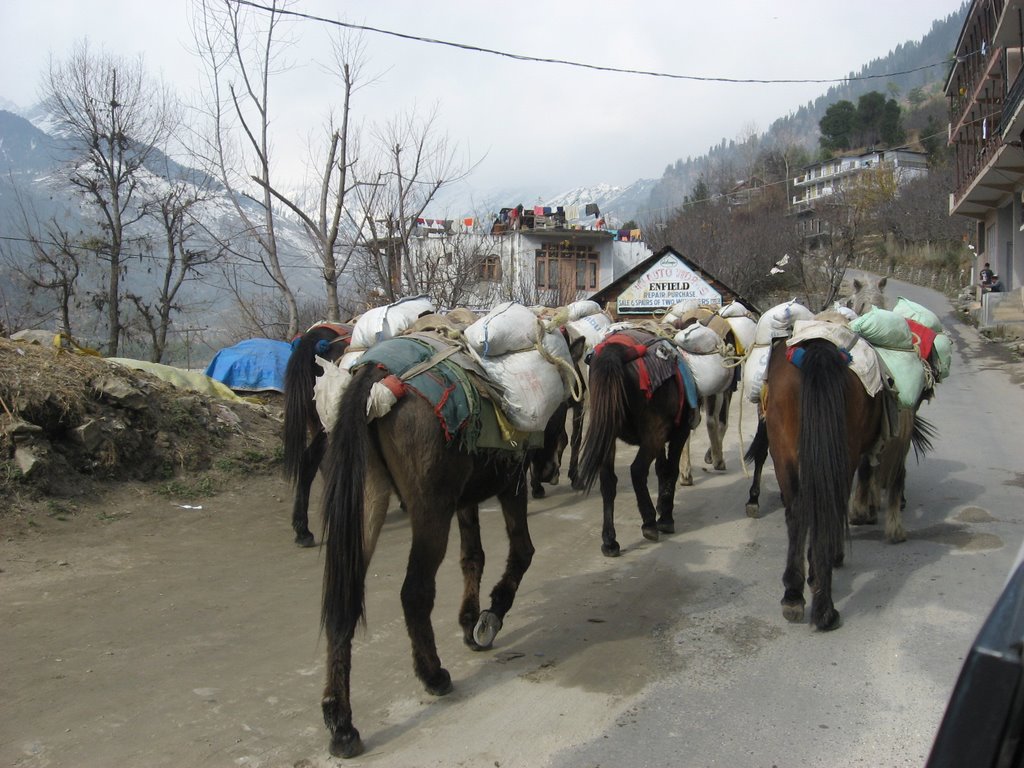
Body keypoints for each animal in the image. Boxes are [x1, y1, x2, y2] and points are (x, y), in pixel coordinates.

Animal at [319, 337, 573, 765]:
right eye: (568, 407)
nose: (552, 471)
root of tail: (376, 373)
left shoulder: (464, 502)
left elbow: (473, 557)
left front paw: (470, 621)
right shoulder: (510, 484)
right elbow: (522, 551)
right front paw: (490, 617)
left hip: (367, 502)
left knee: (344, 602)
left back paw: (341, 723)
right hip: (429, 511)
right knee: (414, 593)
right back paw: (433, 675)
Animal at [573, 327, 700, 557]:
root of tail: (616, 352)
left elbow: (661, 469)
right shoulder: (678, 433)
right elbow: (670, 470)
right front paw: (665, 517)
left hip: (610, 433)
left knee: (608, 480)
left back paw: (610, 541)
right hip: (653, 432)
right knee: (637, 470)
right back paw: (649, 523)